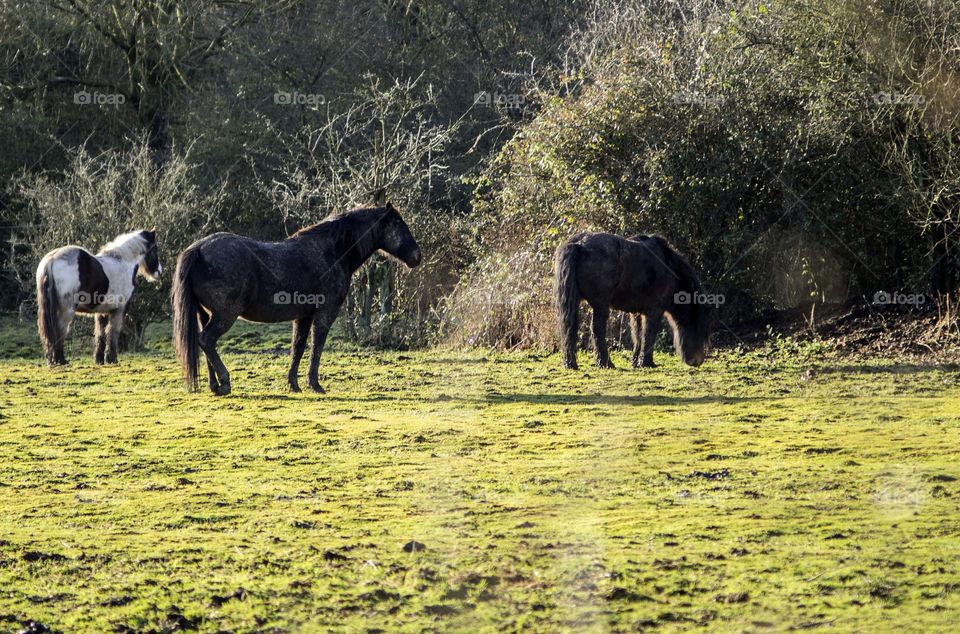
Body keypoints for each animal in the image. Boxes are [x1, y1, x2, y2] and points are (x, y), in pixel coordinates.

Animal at [36, 230, 162, 362]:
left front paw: (99, 359)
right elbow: (112, 331)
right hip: (66, 310)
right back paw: (61, 360)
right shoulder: (119, 309)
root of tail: (52, 259)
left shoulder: (102, 311)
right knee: (60, 329)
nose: (159, 271)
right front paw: (111, 358)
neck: (122, 262)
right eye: (154, 249)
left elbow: (100, 333)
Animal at [172, 202, 420, 392]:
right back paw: (225, 383)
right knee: (207, 340)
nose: (417, 256)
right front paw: (315, 384)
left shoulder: (303, 316)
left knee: (206, 344)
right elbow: (317, 346)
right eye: (399, 225)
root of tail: (198, 249)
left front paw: (293, 384)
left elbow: (298, 347)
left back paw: (214, 385)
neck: (333, 252)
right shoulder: (325, 313)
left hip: (205, 314)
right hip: (224, 315)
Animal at [556, 232, 712, 370]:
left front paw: (636, 362)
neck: (670, 269)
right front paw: (647, 362)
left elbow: (638, 335)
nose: (697, 361)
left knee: (569, 327)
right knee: (597, 329)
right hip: (601, 304)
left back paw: (570, 364)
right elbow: (649, 334)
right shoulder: (654, 311)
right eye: (700, 328)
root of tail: (578, 244)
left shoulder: (637, 313)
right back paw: (606, 363)